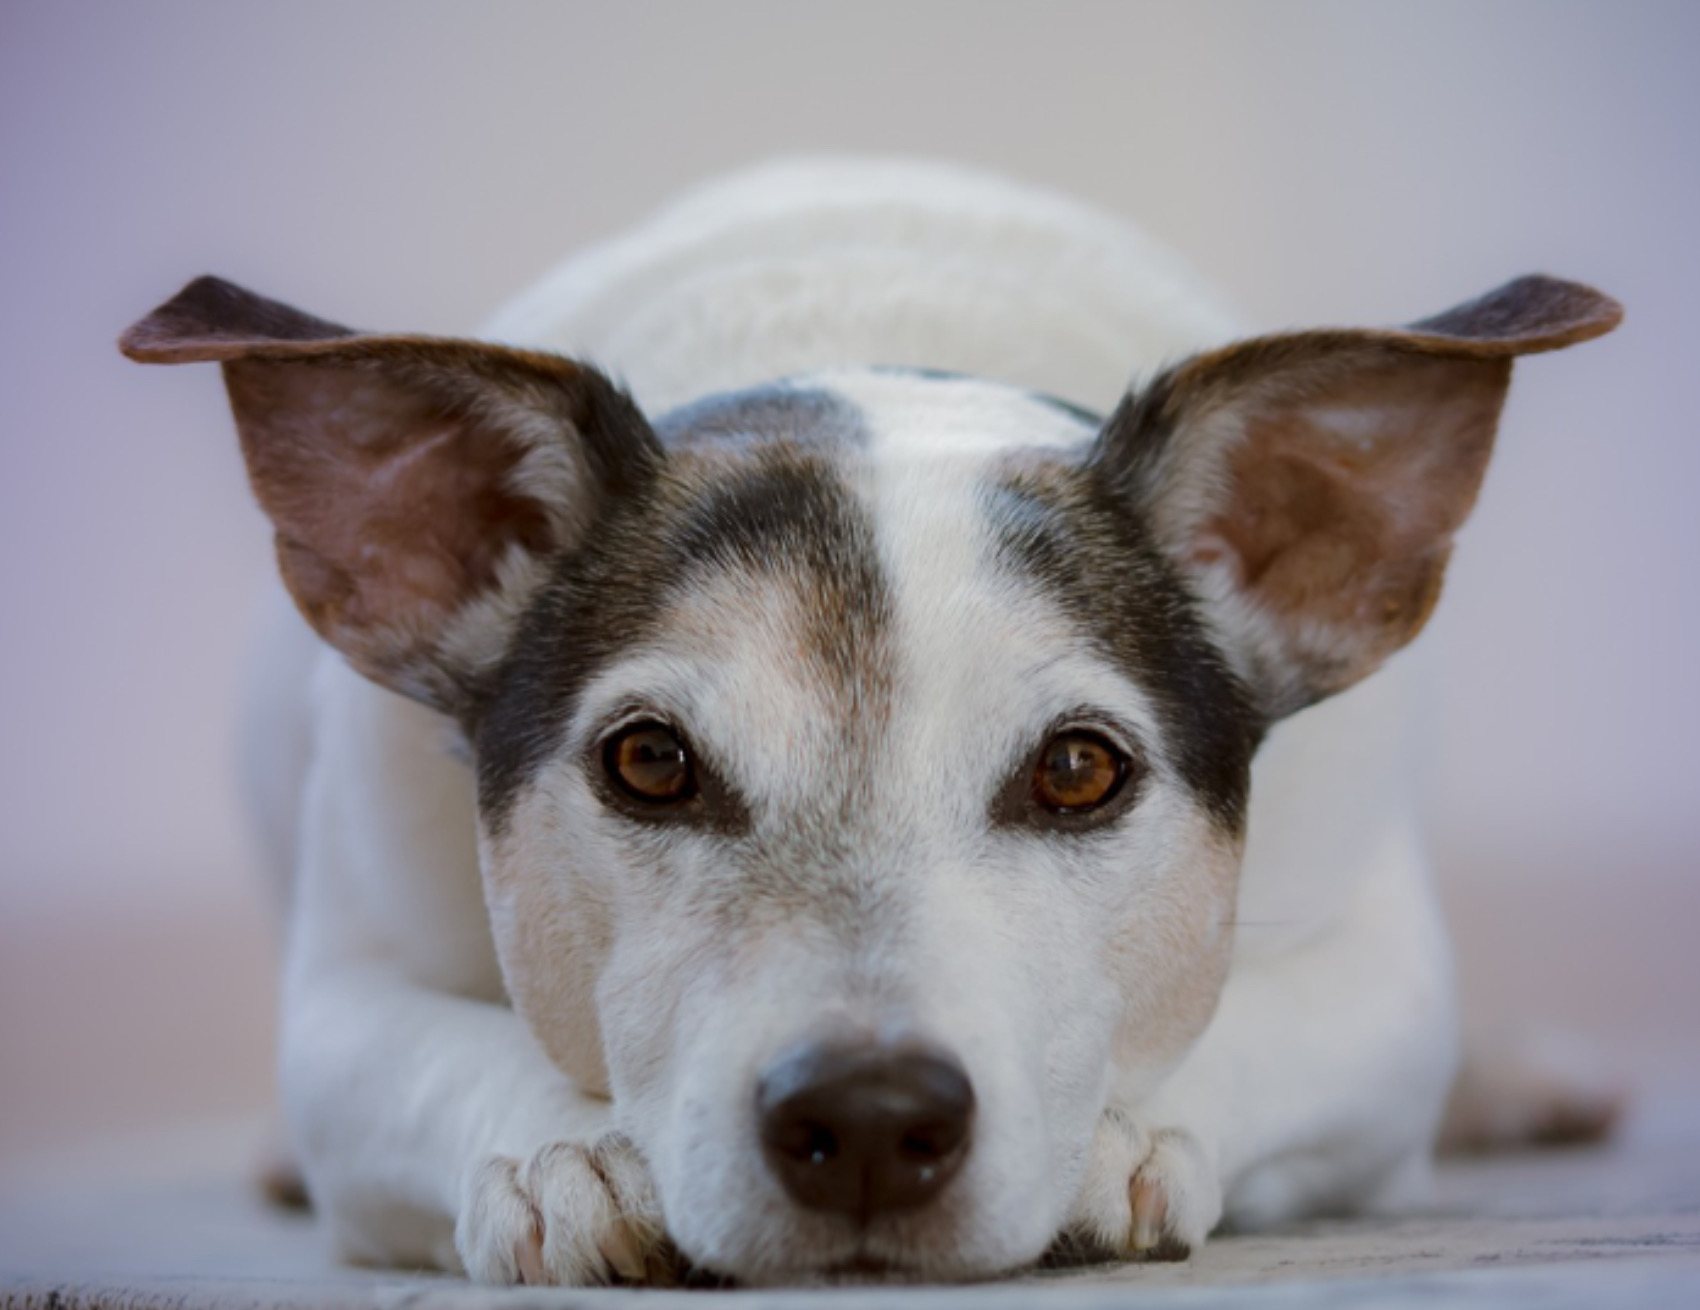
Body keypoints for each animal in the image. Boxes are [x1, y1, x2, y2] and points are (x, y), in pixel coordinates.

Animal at [116, 158, 1618, 1284]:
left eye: (1080, 769)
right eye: (647, 760)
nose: (873, 1115)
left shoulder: (1383, 978)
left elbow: (1261, 1023)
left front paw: (1117, 1135)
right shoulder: (345, 990)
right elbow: (431, 1052)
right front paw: (569, 1150)